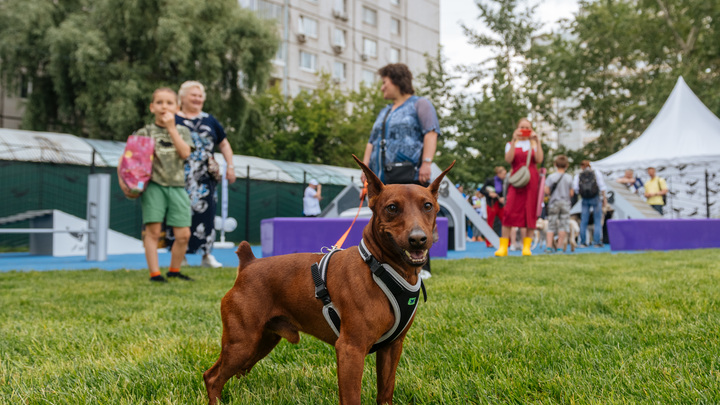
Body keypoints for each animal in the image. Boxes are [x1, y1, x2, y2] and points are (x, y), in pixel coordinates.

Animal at [202, 155, 452, 404]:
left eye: (428, 206)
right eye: (392, 208)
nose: (418, 239)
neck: (382, 269)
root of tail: (249, 264)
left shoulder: (392, 347)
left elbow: (385, 393)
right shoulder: (350, 349)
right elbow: (351, 398)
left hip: (262, 341)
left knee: (227, 373)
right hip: (242, 343)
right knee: (212, 377)